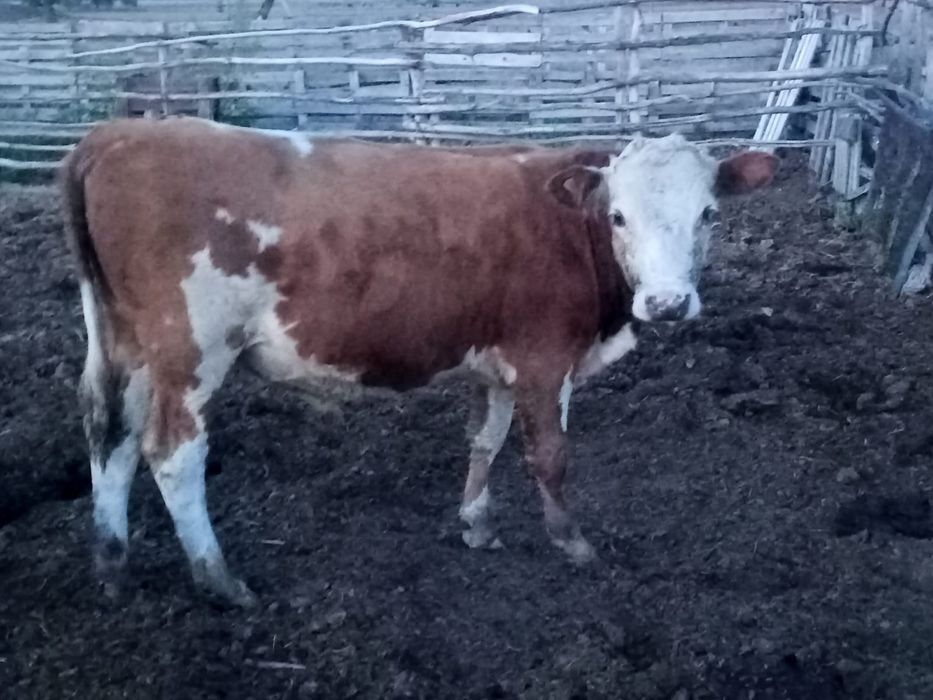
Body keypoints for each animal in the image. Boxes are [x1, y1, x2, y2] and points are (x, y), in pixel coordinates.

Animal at [60, 117, 777, 606]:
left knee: (110, 435)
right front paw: (571, 543)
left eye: (709, 213)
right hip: (192, 350)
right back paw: (219, 579)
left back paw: (111, 563)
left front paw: (477, 523)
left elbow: (485, 438)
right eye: (619, 215)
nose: (666, 302)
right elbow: (548, 454)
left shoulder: (497, 359)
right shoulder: (545, 358)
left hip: (127, 343)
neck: (569, 227)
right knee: (172, 455)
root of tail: (121, 132)